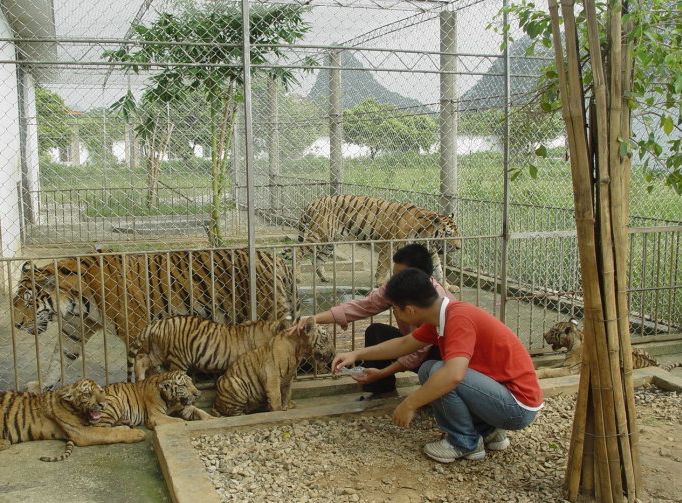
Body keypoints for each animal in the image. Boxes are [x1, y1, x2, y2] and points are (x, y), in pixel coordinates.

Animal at [0, 378, 145, 464]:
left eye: (101, 391)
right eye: (87, 394)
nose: (103, 404)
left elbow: (111, 429)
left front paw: (126, 428)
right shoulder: (82, 432)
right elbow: (108, 433)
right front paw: (138, 433)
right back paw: (4, 443)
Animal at [12, 247, 294, 390]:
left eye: (29, 302)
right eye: (15, 301)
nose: (17, 324)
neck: (76, 301)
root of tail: (275, 258)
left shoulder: (135, 326)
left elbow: (141, 363)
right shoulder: (74, 329)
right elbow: (59, 357)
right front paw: (42, 384)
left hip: (265, 308)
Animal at [292, 197, 462, 292]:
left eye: (457, 232)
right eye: (449, 234)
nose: (459, 247)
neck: (426, 236)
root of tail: (313, 202)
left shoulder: (431, 252)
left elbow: (439, 270)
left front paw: (448, 287)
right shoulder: (389, 245)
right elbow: (383, 265)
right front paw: (380, 282)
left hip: (329, 241)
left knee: (317, 259)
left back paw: (325, 277)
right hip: (319, 235)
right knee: (299, 251)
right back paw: (298, 277)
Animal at [532, 318, 680, 378]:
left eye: (553, 331)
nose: (544, 334)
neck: (572, 344)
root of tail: (657, 363)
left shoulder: (570, 369)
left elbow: (550, 371)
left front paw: (539, 373)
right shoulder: (565, 363)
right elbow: (552, 365)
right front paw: (539, 367)